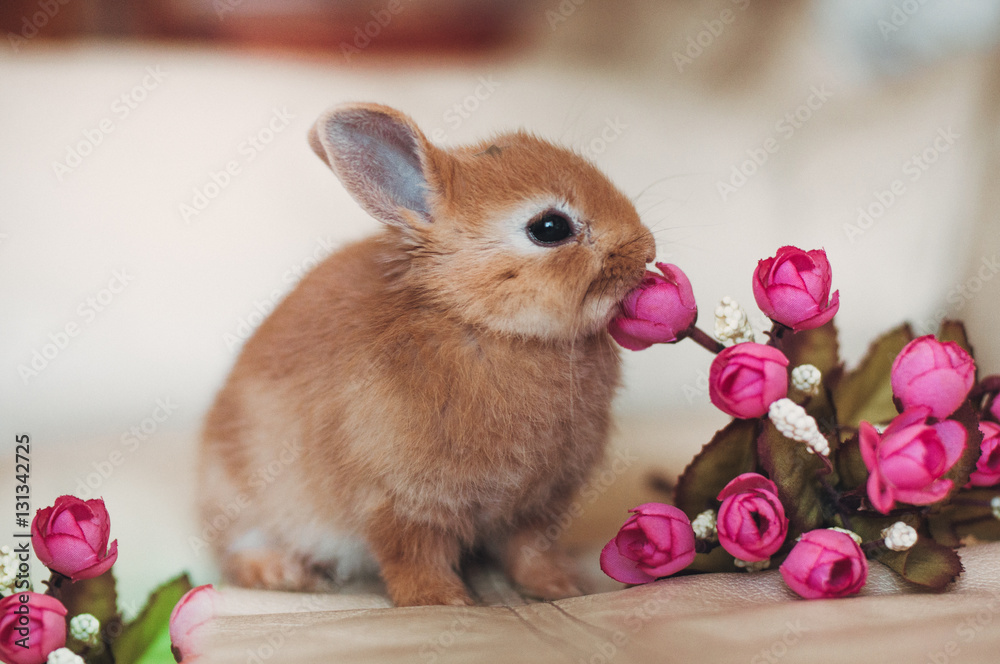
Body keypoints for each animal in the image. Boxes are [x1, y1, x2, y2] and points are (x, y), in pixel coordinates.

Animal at [197, 102, 656, 606]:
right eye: (550, 227)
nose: (646, 250)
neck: (477, 321)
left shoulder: (535, 507)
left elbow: (530, 551)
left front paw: (560, 588)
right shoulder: (399, 500)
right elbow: (414, 555)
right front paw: (443, 600)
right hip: (244, 498)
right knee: (240, 553)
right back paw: (286, 573)